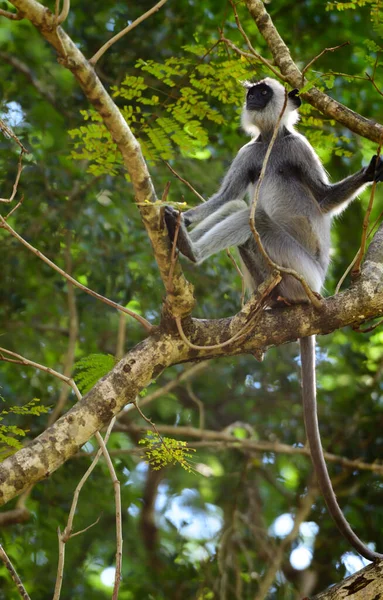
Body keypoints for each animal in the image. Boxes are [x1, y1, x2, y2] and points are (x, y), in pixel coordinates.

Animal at [166, 77, 383, 560]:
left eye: (263, 91)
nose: (251, 96)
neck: (270, 144)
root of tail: (314, 293)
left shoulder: (296, 147)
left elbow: (322, 199)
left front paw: (371, 172)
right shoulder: (250, 153)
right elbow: (223, 198)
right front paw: (176, 217)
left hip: (295, 268)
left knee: (253, 220)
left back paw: (193, 253)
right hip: (277, 272)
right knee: (237, 213)